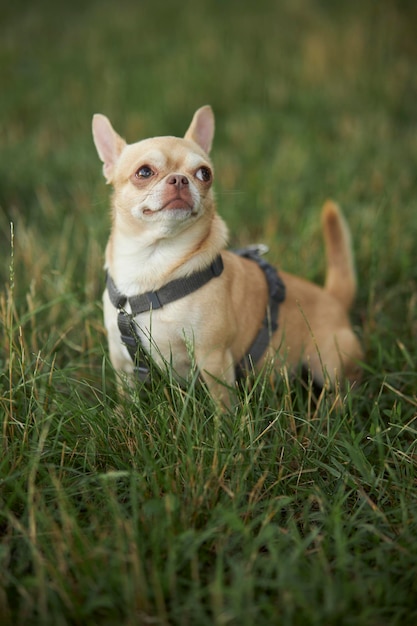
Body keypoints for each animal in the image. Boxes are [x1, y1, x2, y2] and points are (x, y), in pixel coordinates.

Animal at [92, 106, 362, 404]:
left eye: (204, 173)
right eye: (144, 172)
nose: (180, 179)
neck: (154, 261)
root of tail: (333, 298)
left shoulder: (213, 359)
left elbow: (223, 403)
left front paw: (224, 419)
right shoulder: (123, 363)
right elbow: (127, 397)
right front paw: (123, 412)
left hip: (329, 363)